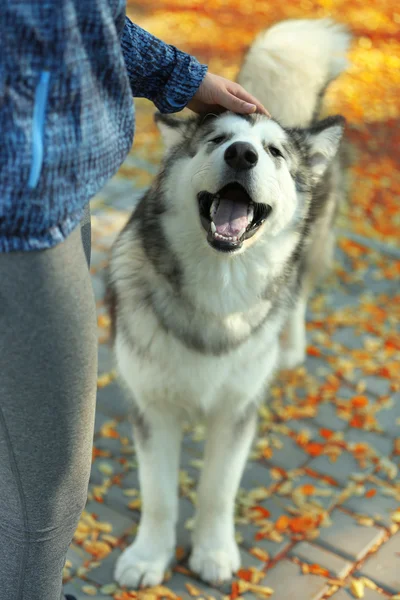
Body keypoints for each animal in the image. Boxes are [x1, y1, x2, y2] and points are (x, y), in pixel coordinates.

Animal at [107, 17, 350, 584]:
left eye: (275, 153)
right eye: (217, 140)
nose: (242, 153)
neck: (219, 294)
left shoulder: (237, 410)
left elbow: (218, 491)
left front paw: (214, 552)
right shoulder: (152, 407)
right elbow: (159, 496)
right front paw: (148, 557)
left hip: (312, 249)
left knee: (298, 289)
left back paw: (291, 346)